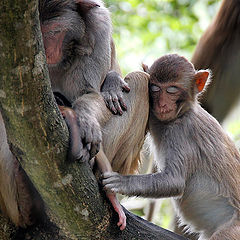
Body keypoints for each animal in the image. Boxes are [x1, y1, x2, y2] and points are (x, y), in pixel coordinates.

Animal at [102, 54, 240, 240]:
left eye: (172, 90)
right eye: (155, 88)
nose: (161, 104)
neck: (181, 114)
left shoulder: (181, 132)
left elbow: (174, 180)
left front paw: (122, 182)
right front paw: (112, 81)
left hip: (233, 230)